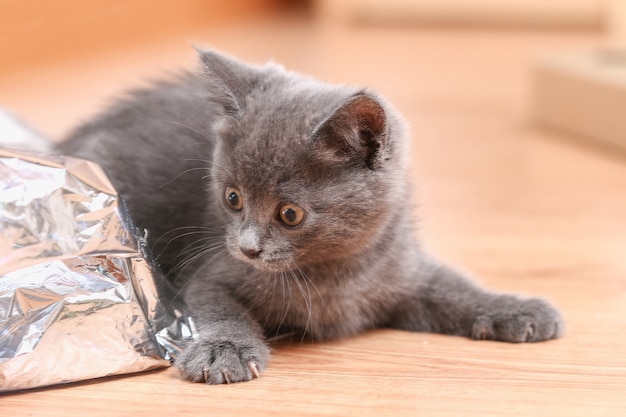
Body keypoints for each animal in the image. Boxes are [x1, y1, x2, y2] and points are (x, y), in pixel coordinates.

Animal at [57, 48, 560, 384]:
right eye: (232, 198)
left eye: (290, 213)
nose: (248, 248)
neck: (331, 276)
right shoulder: (208, 270)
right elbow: (216, 304)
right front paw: (223, 351)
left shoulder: (401, 269)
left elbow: (454, 288)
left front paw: (517, 308)